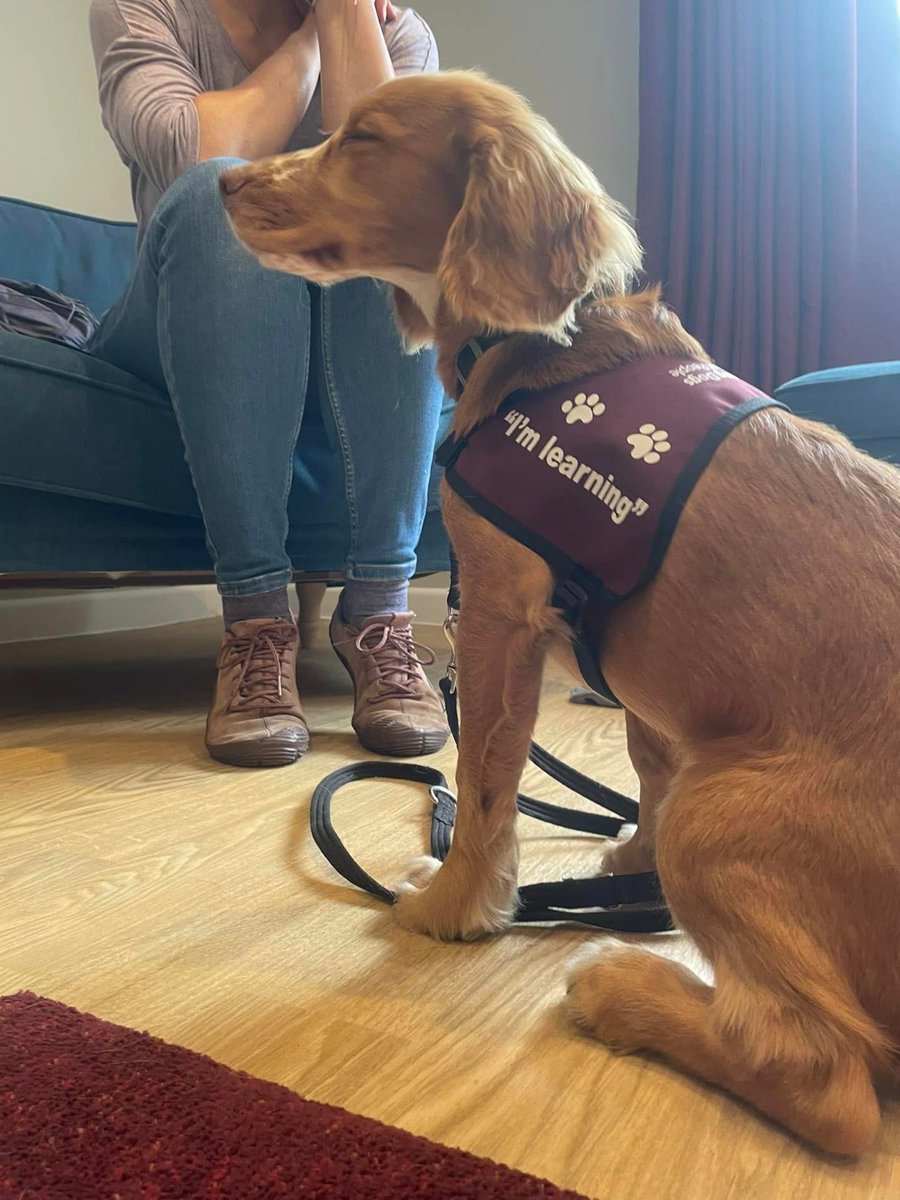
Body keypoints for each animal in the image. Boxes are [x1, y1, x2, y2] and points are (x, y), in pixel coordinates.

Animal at [224, 72, 900, 1152]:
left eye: (363, 139)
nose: (224, 183)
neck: (545, 348)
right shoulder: (633, 676)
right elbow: (643, 763)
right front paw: (629, 862)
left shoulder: (497, 613)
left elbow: (484, 780)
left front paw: (455, 903)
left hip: (725, 810)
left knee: (826, 1082)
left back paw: (626, 987)